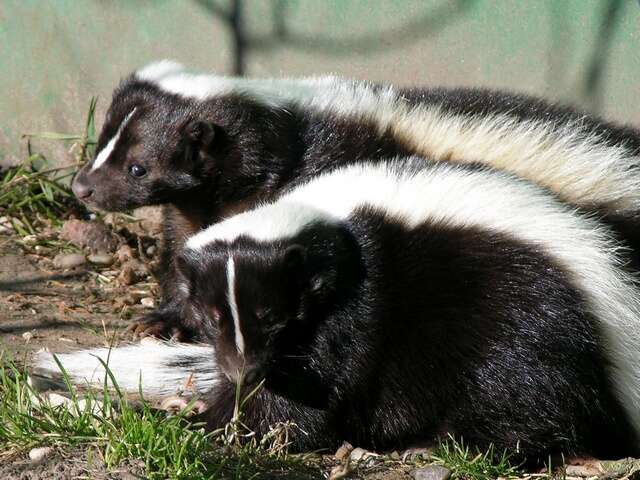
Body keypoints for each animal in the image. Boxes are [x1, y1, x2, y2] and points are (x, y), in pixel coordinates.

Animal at [42, 158, 640, 462]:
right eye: (211, 318)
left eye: (271, 314)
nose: (243, 370)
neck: (327, 219)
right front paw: (218, 414)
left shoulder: (362, 296)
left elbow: (322, 379)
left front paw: (232, 428)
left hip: (525, 320)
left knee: (520, 396)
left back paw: (451, 444)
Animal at [69, 60, 640, 338]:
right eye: (101, 146)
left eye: (138, 167)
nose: (81, 187)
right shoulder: (195, 209)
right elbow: (184, 256)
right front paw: (164, 318)